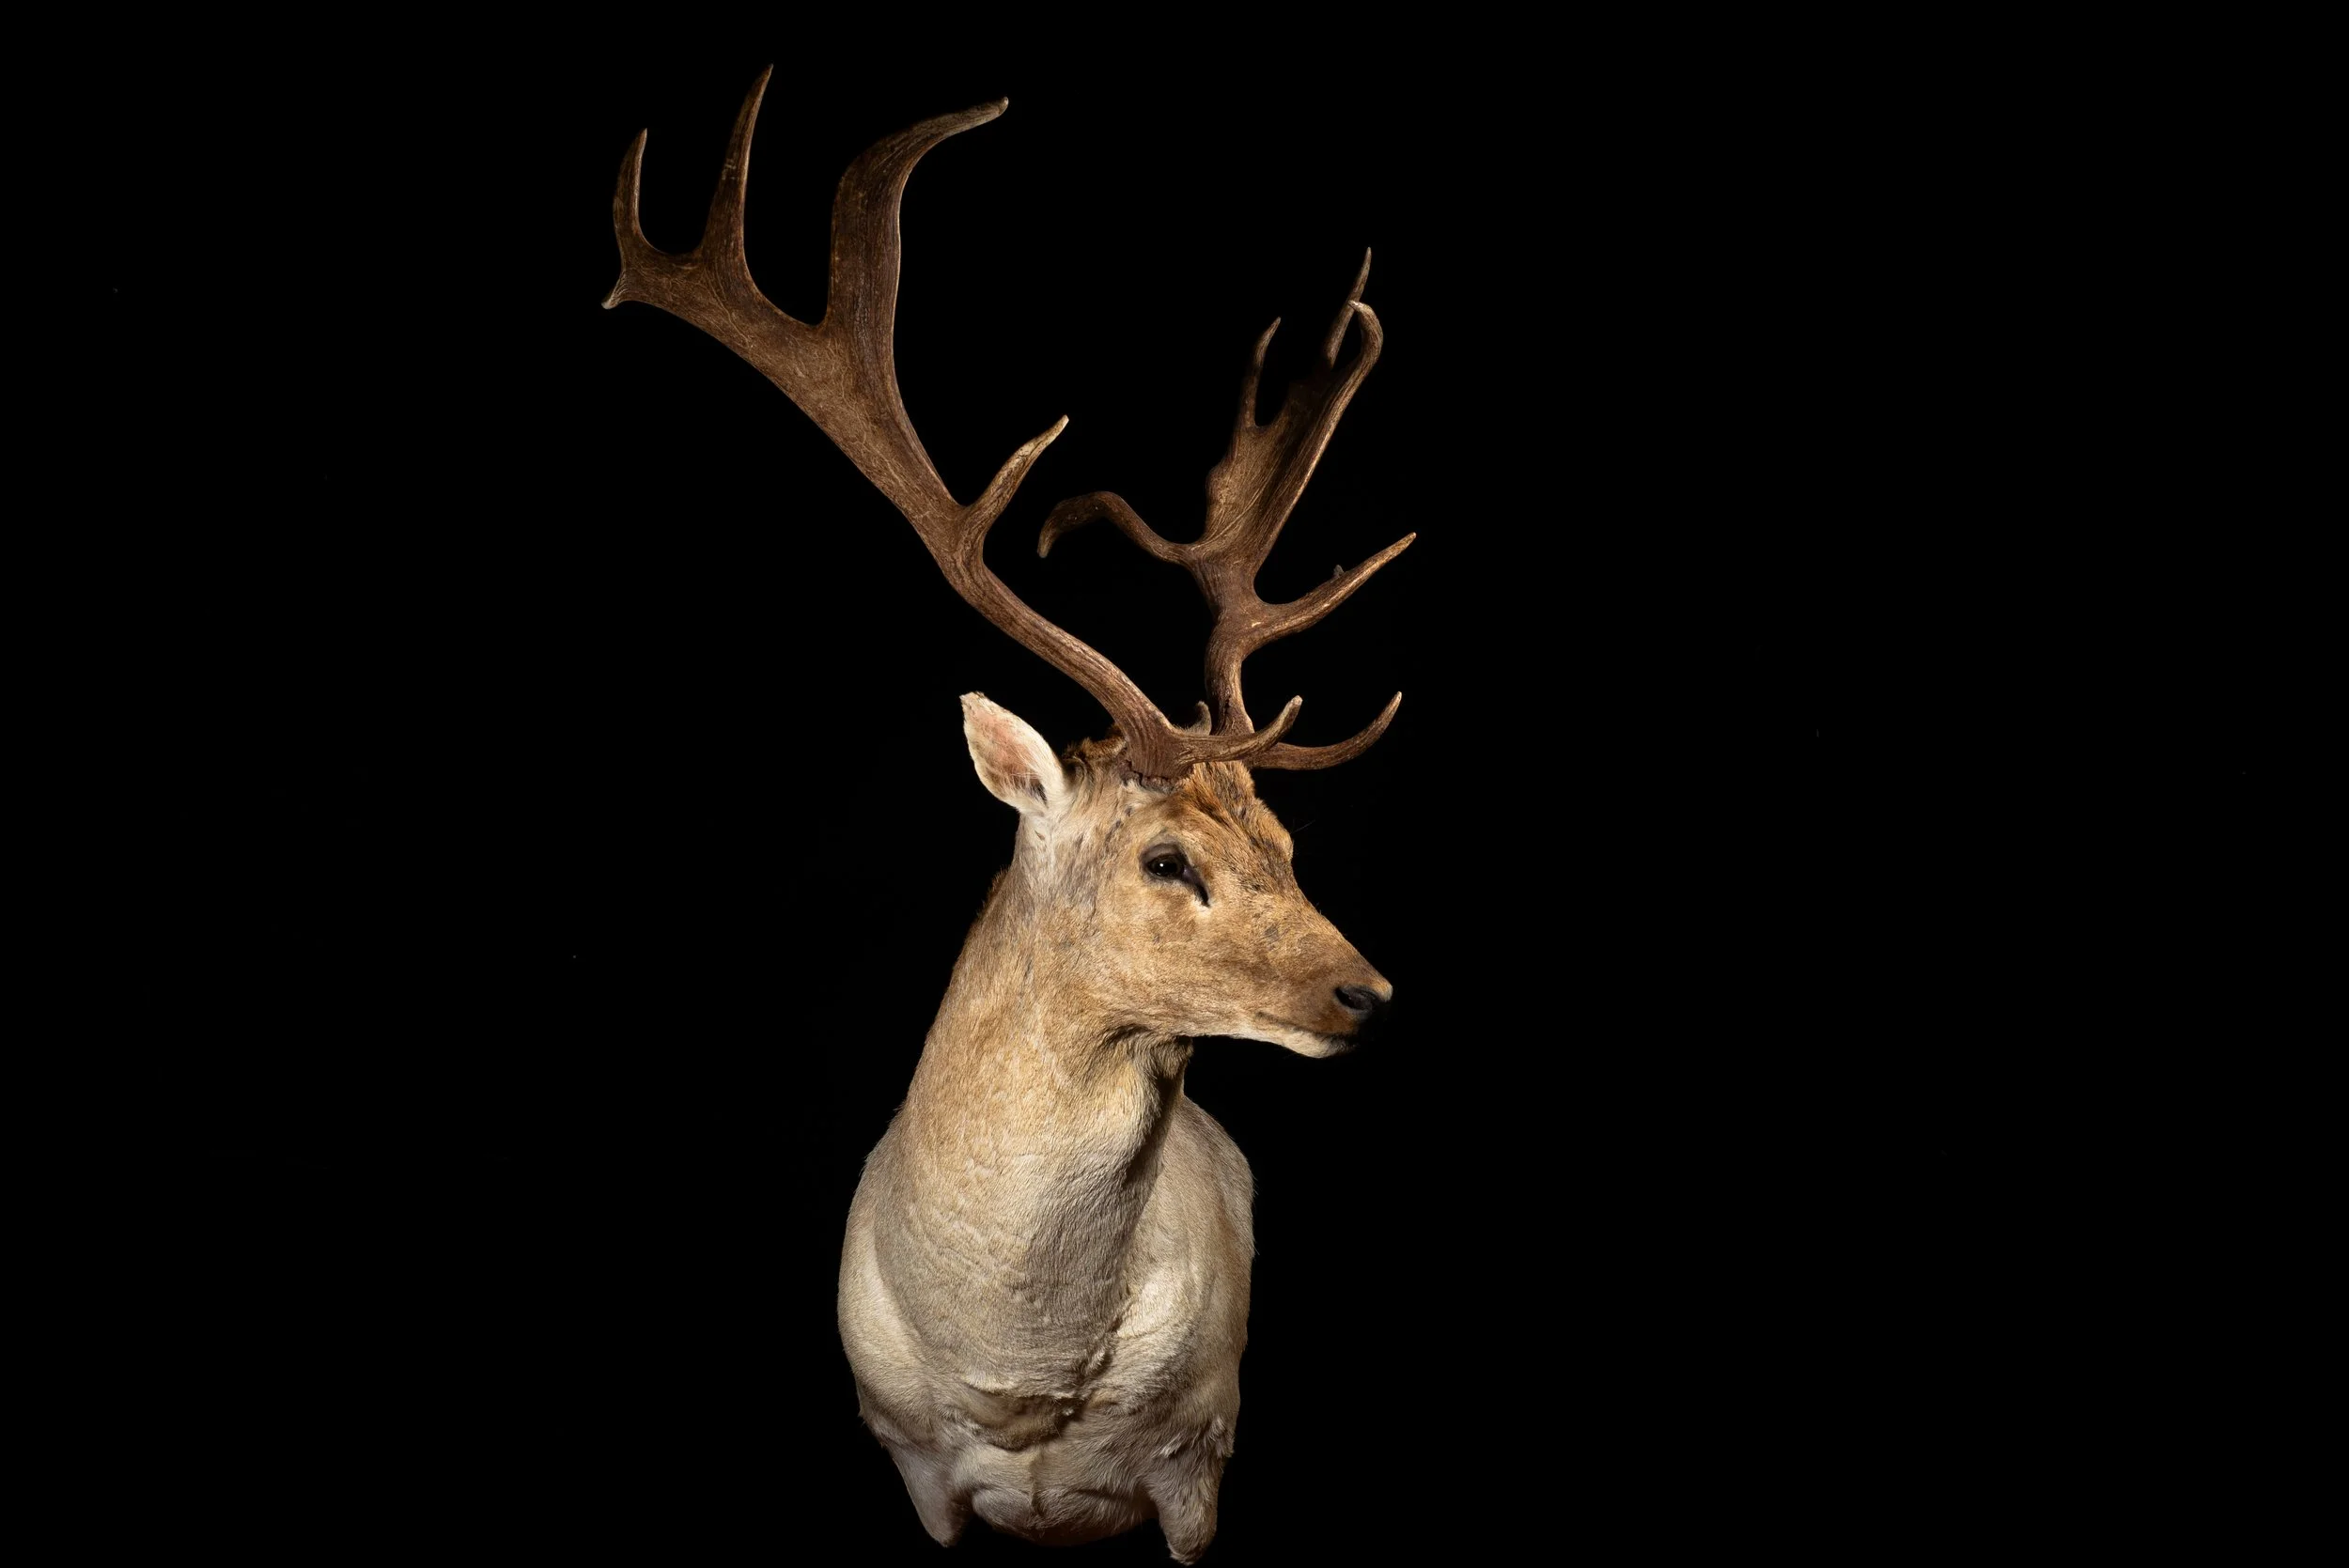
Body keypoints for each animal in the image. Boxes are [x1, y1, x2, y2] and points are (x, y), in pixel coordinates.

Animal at [604, 71, 1410, 1562]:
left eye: (1286, 847)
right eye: (1167, 856)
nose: (1365, 992)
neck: (1018, 1376)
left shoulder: (1202, 1462)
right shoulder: (913, 1469)